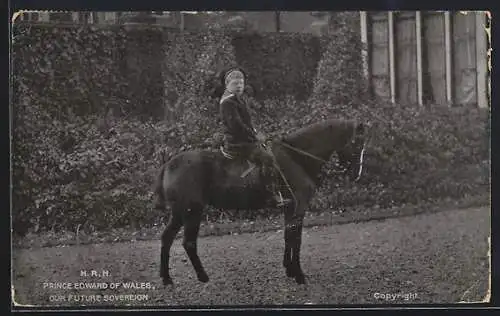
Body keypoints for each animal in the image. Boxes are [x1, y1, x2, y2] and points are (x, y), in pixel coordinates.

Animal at [154, 119, 370, 286]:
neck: (296, 157)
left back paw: (167, 278)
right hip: (192, 211)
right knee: (188, 243)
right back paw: (202, 276)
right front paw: (299, 275)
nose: (358, 173)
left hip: (179, 213)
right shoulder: (299, 206)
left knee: (167, 238)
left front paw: (289, 269)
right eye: (357, 142)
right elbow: (296, 238)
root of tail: (169, 164)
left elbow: (288, 236)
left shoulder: (289, 207)